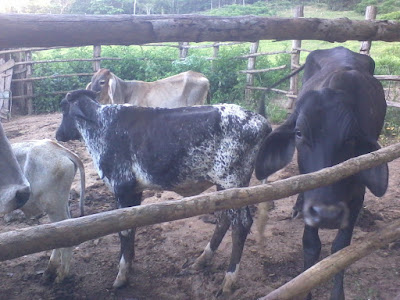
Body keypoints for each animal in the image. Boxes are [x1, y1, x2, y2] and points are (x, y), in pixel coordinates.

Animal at [55, 89, 272, 296]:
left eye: (64, 108)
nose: (58, 135)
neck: (100, 126)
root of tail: (261, 121)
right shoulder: (134, 191)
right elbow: (130, 226)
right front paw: (128, 266)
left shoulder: (122, 188)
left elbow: (124, 231)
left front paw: (121, 276)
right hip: (225, 187)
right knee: (224, 220)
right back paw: (201, 261)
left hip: (232, 181)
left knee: (241, 225)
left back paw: (228, 280)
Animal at [255, 45, 390, 298]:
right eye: (299, 133)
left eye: (351, 138)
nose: (327, 214)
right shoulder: (312, 193)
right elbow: (311, 245)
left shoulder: (357, 194)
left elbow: (340, 250)